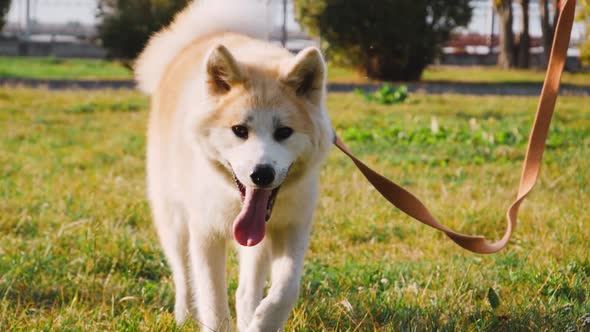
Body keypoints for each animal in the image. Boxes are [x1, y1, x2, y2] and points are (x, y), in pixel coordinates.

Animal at [136, 0, 336, 330]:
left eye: (284, 132)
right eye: (240, 130)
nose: (261, 174)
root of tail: (201, 37)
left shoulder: (292, 226)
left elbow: (286, 289)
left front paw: (262, 321)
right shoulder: (205, 234)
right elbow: (213, 301)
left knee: (246, 290)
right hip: (173, 219)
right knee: (182, 273)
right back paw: (183, 315)